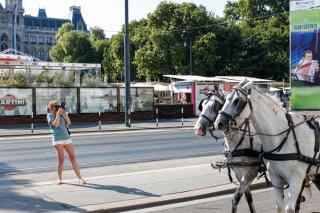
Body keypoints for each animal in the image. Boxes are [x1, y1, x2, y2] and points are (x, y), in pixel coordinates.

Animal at [214, 80, 318, 213]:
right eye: (225, 99)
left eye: (237, 100)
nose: (218, 123)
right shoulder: (275, 177)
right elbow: (278, 206)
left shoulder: (296, 178)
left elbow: (289, 208)